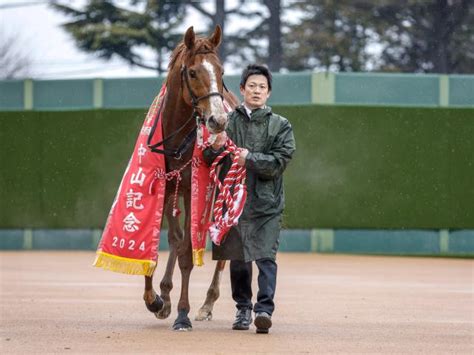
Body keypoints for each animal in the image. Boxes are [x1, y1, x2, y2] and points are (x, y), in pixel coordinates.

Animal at [140, 25, 237, 334]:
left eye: (221, 70)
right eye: (192, 72)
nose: (218, 120)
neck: (174, 141)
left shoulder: (194, 188)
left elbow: (186, 252)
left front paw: (183, 313)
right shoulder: (167, 186)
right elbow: (171, 239)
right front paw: (156, 299)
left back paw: (207, 303)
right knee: (178, 238)